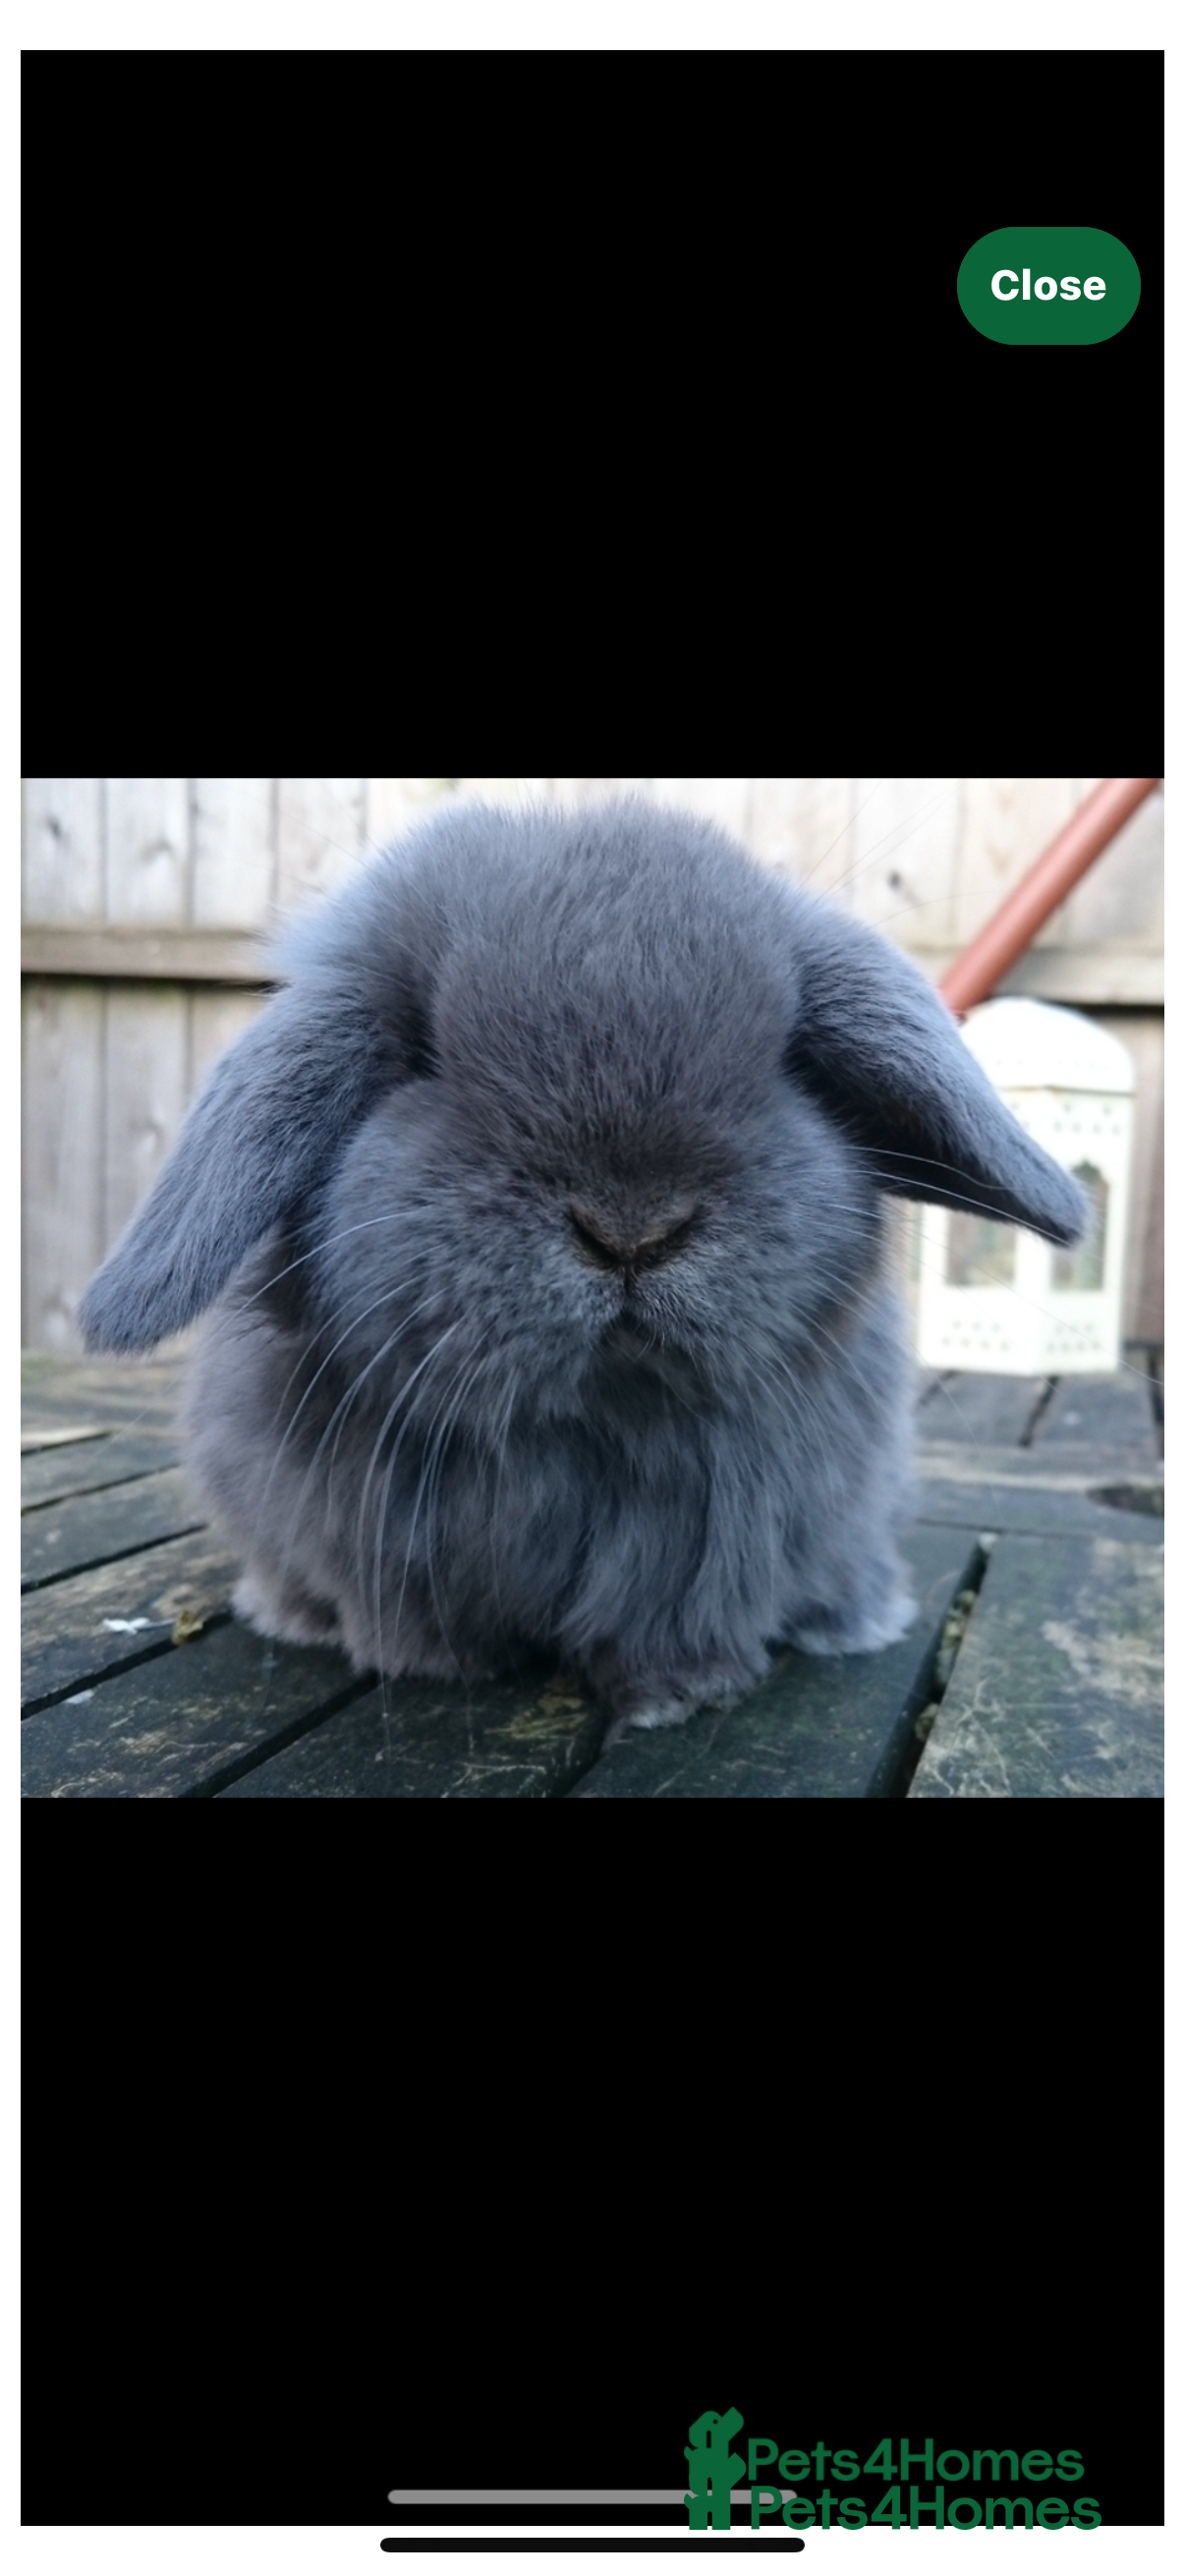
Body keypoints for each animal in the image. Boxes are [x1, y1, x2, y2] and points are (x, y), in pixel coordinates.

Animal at [79, 796, 1087, 1740]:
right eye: (422, 1053)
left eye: (787, 1057)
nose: (632, 1230)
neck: (598, 1421)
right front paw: (430, 1664)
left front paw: (681, 1695)